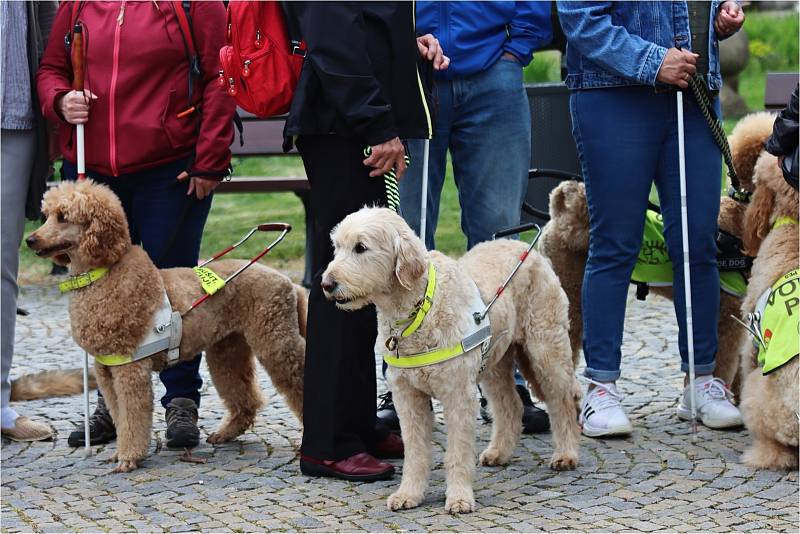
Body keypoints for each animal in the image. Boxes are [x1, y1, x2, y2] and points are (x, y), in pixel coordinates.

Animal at [322, 208, 580, 516]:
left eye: (361, 247)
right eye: (337, 247)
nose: (326, 284)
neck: (420, 310)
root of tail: (527, 250)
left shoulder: (458, 396)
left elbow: (457, 452)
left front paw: (459, 497)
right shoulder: (408, 399)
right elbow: (416, 453)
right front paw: (409, 493)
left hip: (546, 349)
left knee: (562, 401)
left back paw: (566, 453)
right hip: (494, 364)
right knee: (510, 405)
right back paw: (500, 451)